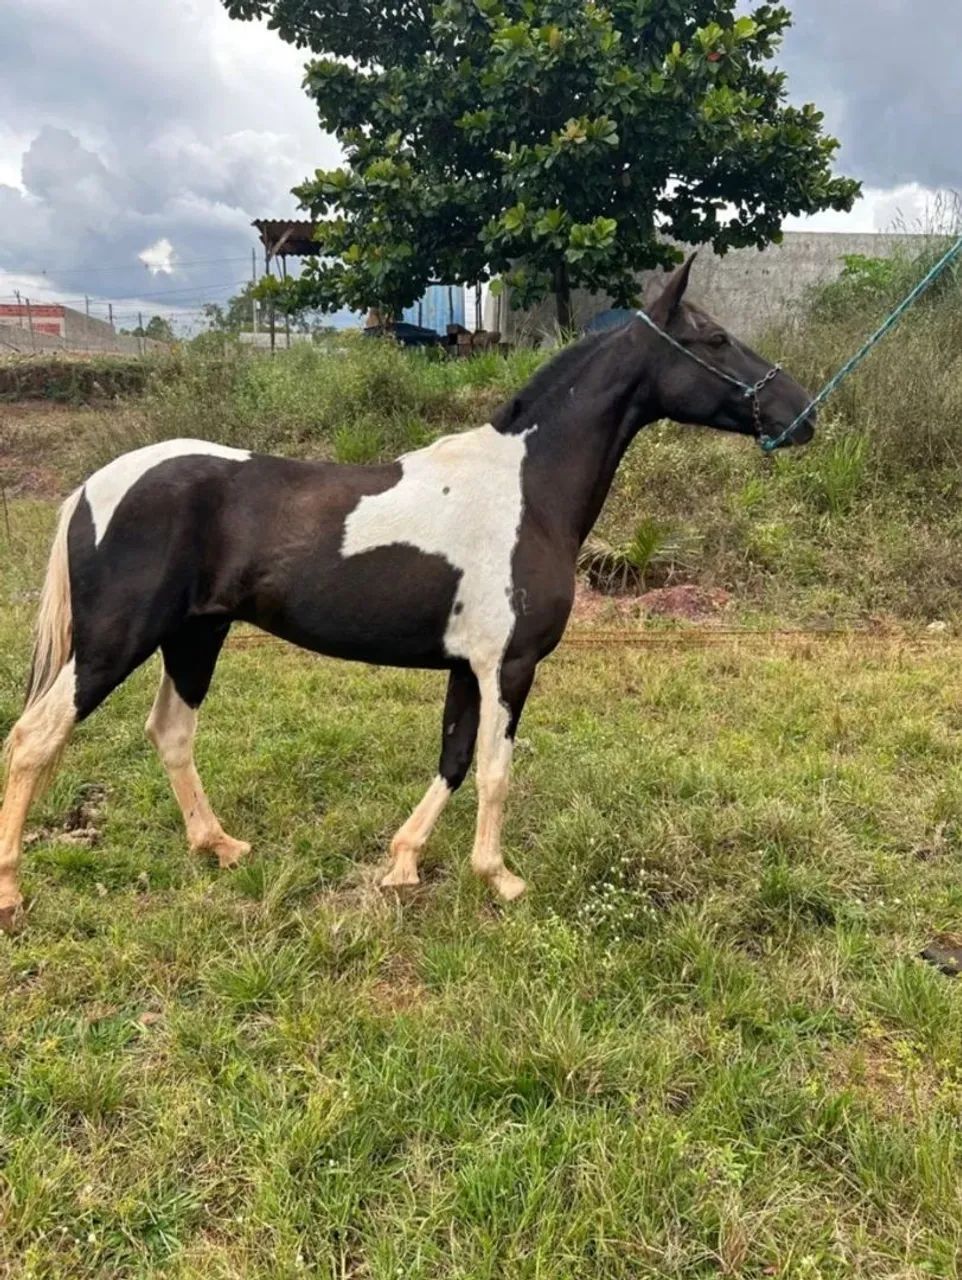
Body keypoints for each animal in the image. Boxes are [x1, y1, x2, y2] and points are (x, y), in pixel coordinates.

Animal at [0, 256, 815, 932]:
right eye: (715, 339)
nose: (803, 413)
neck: (526, 489)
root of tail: (94, 486)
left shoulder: (466, 667)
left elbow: (453, 759)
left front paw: (402, 864)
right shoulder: (508, 667)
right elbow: (494, 769)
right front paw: (500, 878)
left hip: (196, 634)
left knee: (169, 731)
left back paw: (220, 846)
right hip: (117, 641)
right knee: (36, 736)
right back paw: (12, 890)